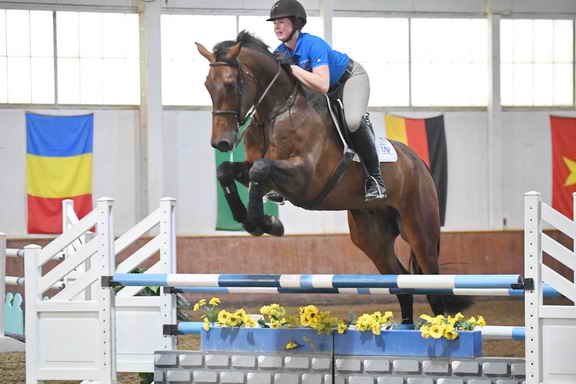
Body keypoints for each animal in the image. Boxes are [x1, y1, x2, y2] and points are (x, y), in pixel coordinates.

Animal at [196, 30, 470, 324]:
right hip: (371, 235)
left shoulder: (305, 179)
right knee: (402, 283)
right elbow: (228, 171)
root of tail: (420, 165)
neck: (277, 111)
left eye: (231, 84)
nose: (221, 143)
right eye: (207, 85)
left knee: (433, 286)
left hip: (420, 230)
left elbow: (260, 168)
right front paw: (254, 221)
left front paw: (265, 223)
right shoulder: (260, 172)